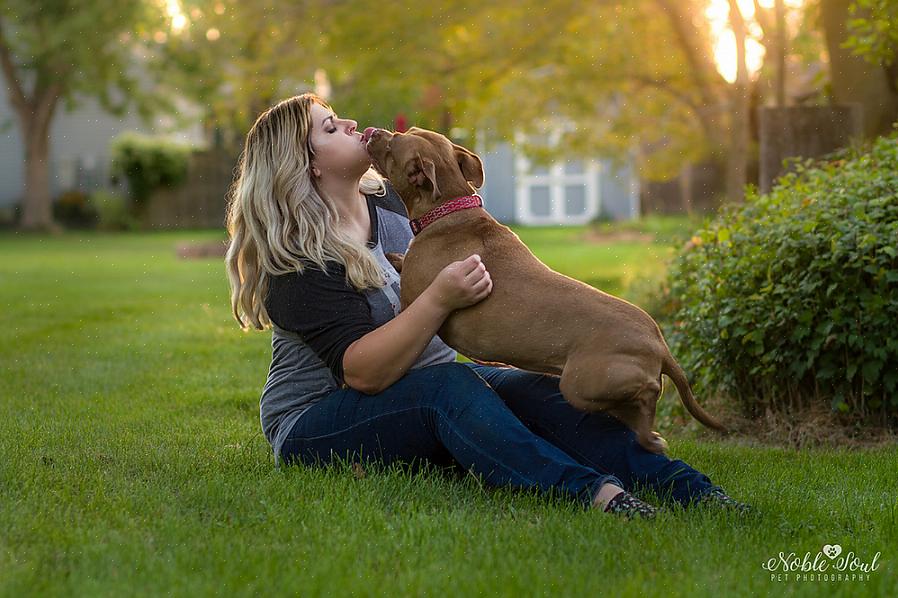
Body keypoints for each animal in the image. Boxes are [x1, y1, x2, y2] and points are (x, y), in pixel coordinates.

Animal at [360, 126, 724, 454]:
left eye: (392, 144)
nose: (372, 131)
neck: (449, 207)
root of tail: (659, 345)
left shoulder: (414, 303)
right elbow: (400, 259)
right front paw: (395, 256)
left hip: (580, 384)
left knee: (646, 399)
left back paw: (653, 437)